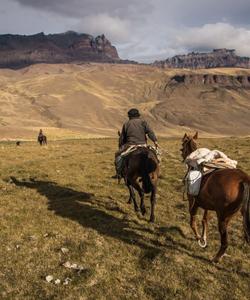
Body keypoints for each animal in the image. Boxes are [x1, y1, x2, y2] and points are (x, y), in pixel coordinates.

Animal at [181, 132, 249, 262]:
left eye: (182, 145)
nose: (182, 155)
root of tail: (243, 179)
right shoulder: (206, 204)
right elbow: (205, 220)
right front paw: (203, 237)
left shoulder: (193, 201)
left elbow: (192, 221)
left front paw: (199, 238)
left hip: (222, 216)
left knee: (225, 242)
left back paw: (216, 258)